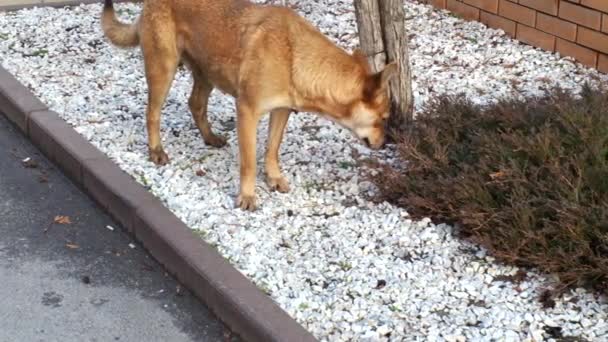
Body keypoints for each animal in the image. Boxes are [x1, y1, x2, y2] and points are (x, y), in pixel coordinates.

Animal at [102, 0, 396, 210]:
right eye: (384, 118)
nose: (385, 143)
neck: (294, 55)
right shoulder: (247, 112)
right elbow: (250, 162)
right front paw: (247, 195)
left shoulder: (281, 112)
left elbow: (272, 149)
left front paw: (274, 177)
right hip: (164, 69)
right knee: (152, 113)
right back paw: (156, 150)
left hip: (207, 72)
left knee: (195, 104)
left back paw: (209, 137)